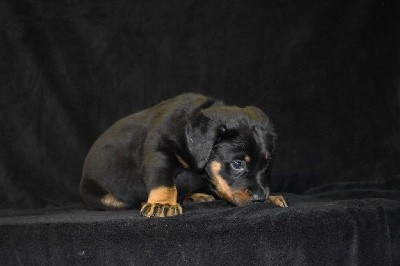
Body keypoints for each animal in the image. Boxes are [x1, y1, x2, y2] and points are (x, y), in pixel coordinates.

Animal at [79, 92, 286, 217]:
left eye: (266, 164)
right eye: (237, 164)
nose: (260, 198)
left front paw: (271, 197)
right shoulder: (160, 151)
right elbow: (164, 181)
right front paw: (162, 203)